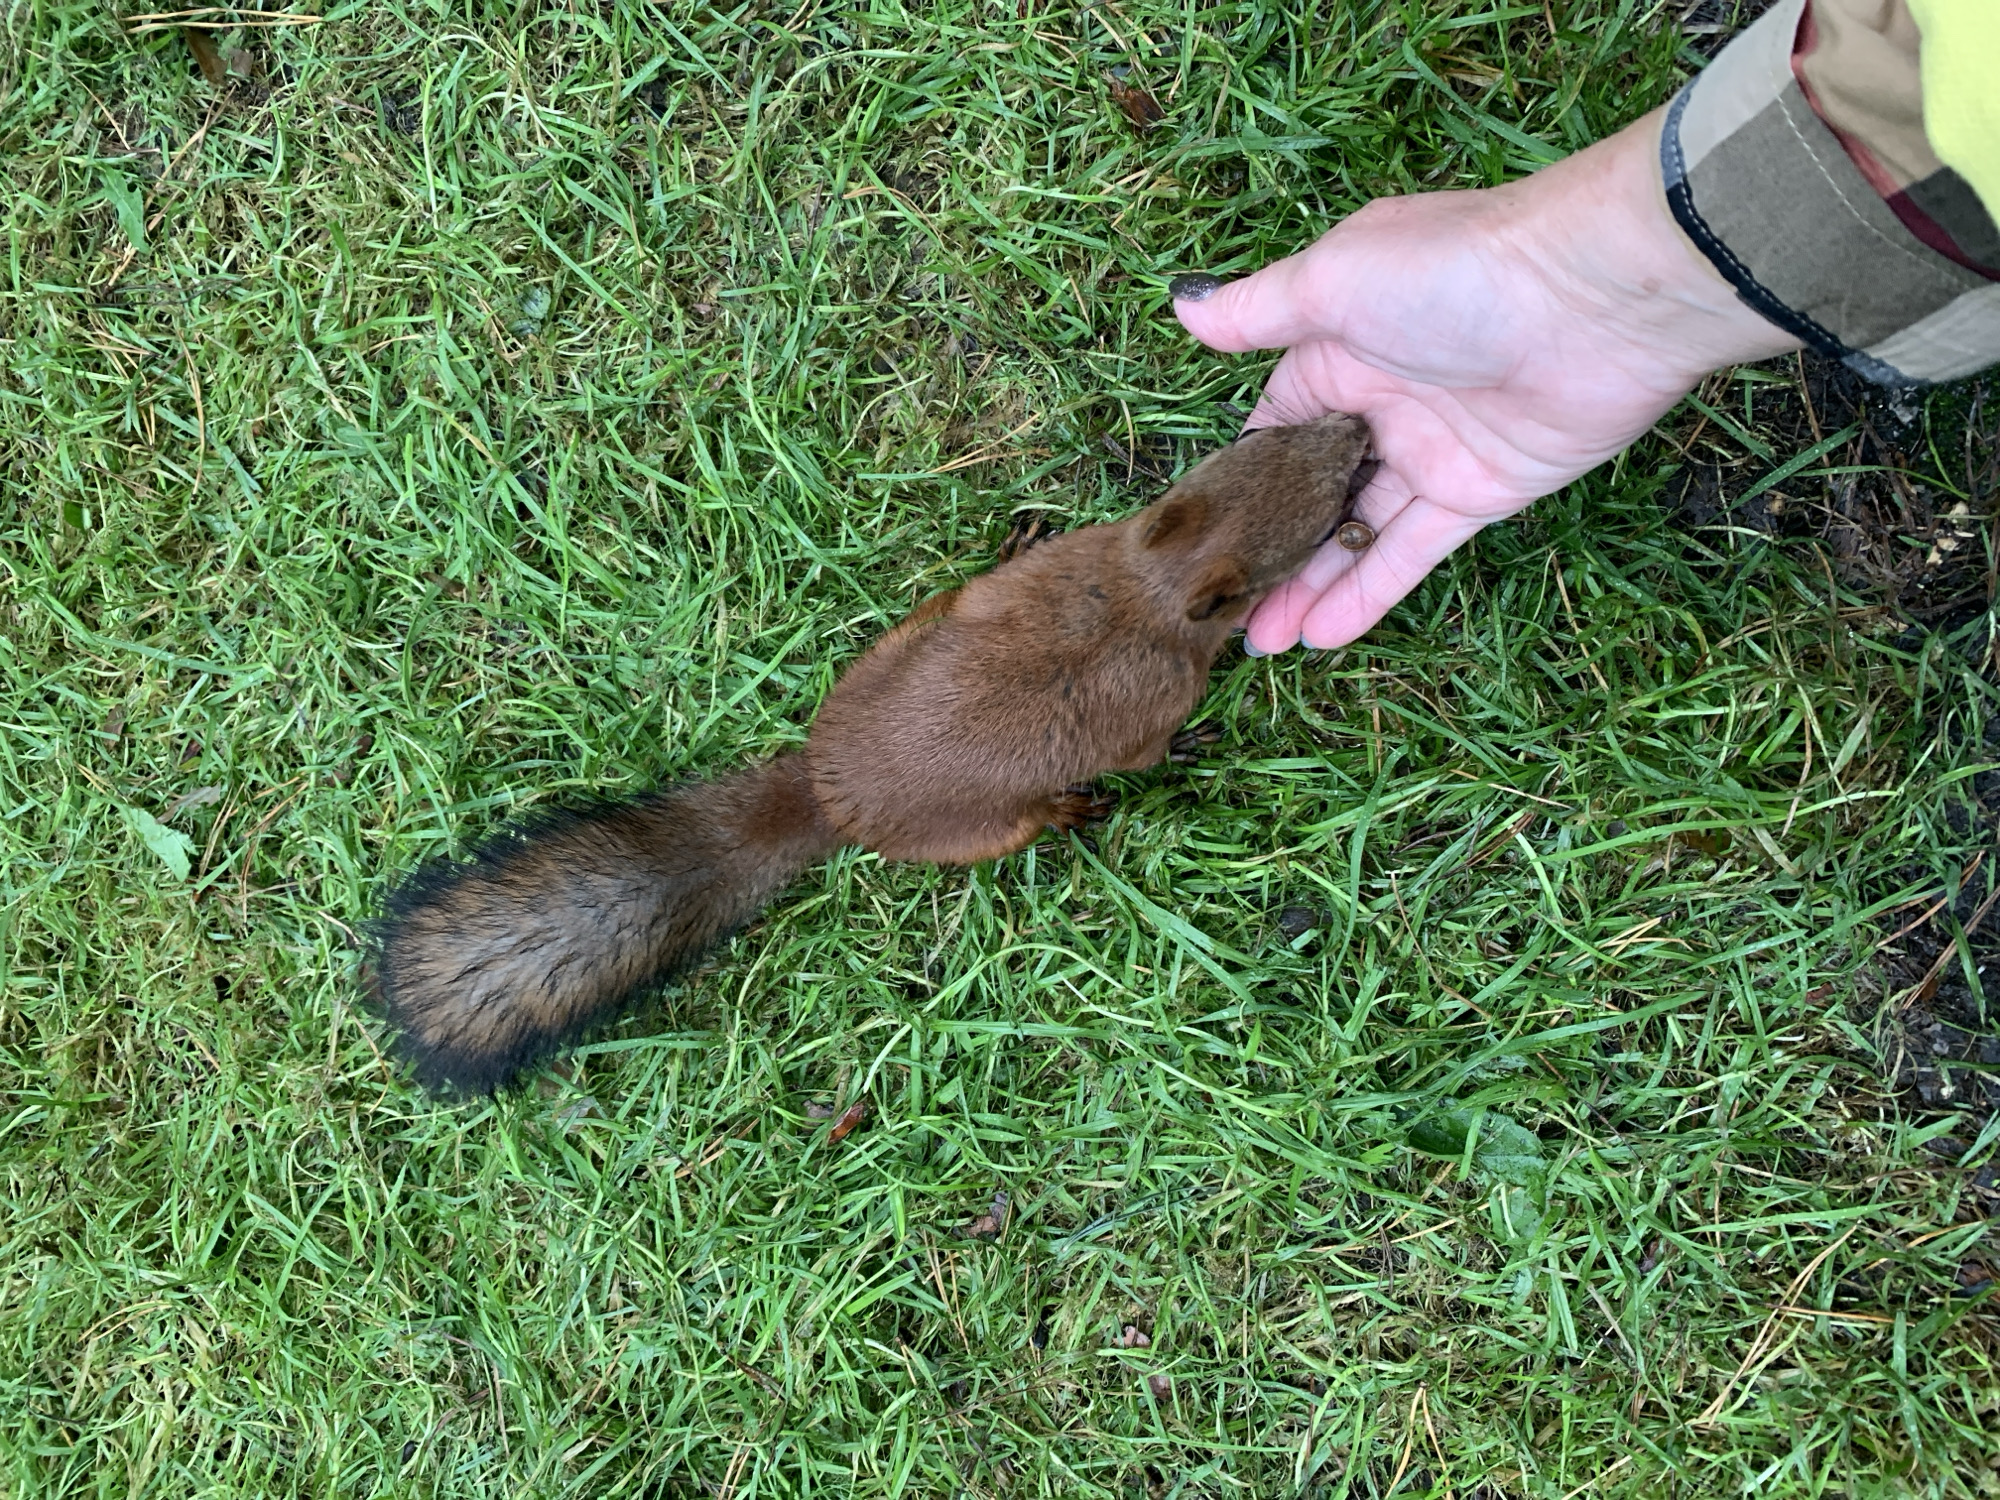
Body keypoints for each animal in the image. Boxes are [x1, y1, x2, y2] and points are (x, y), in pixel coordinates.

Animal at [369, 413, 1373, 1092]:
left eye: (1278, 438)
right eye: (1328, 511)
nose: (1360, 427)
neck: (1145, 584)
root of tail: (830, 796)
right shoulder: (1152, 707)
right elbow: (1155, 749)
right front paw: (1194, 746)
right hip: (985, 830)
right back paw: (1069, 807)